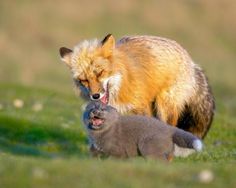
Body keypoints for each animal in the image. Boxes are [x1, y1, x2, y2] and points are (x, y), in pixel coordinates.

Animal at [59, 33, 214, 140]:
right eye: (84, 80)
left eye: (100, 73)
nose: (95, 95)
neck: (121, 84)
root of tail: (191, 63)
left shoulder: (140, 106)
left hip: (165, 105)